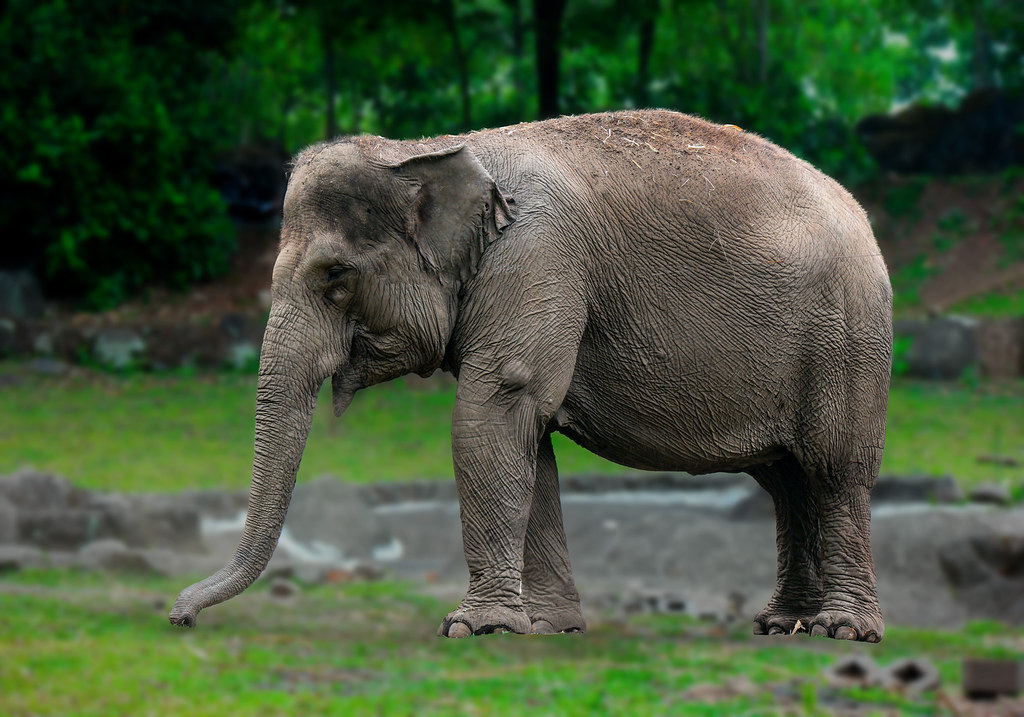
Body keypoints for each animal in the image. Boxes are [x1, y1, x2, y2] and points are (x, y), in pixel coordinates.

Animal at [170, 109, 892, 642]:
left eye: (334, 277)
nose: (179, 615)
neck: (424, 151)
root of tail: (862, 216)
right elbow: (527, 438)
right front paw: (546, 627)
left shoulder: (536, 258)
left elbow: (493, 410)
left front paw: (471, 627)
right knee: (787, 479)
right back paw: (781, 624)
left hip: (848, 342)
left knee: (834, 468)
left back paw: (842, 631)